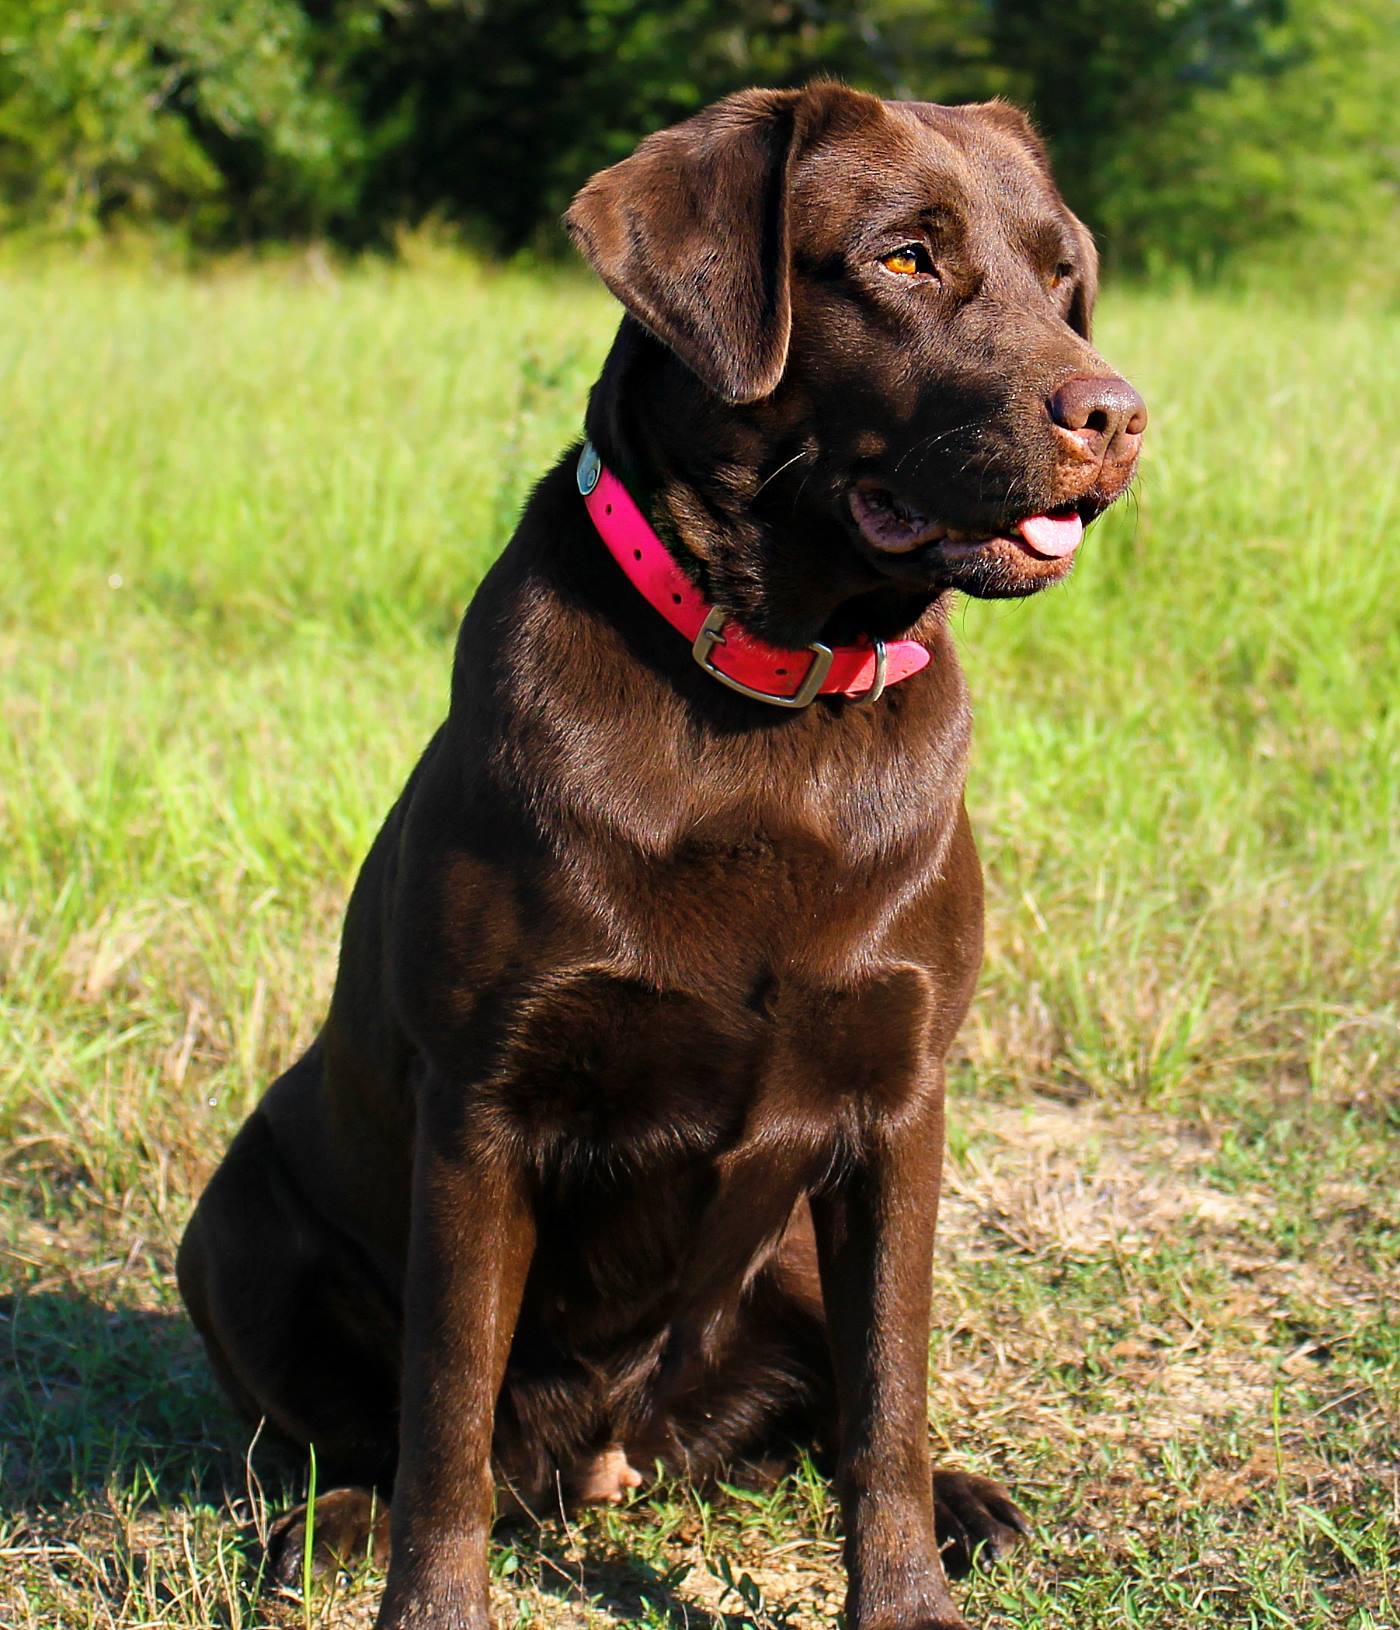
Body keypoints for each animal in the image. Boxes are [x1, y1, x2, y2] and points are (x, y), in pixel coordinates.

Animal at [180, 79, 1147, 1630]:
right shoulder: (482, 1110)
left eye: (1064, 278)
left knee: (833, 1401)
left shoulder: (900, 1107)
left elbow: (889, 1396)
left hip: (794, 1246)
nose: (1114, 413)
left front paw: (909, 1587)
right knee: (372, 1437)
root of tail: (603, 1462)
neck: (773, 688)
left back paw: (969, 1500)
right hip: (231, 1226)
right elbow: (441, 1417)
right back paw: (328, 1524)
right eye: (903, 258)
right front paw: (428, 1600)